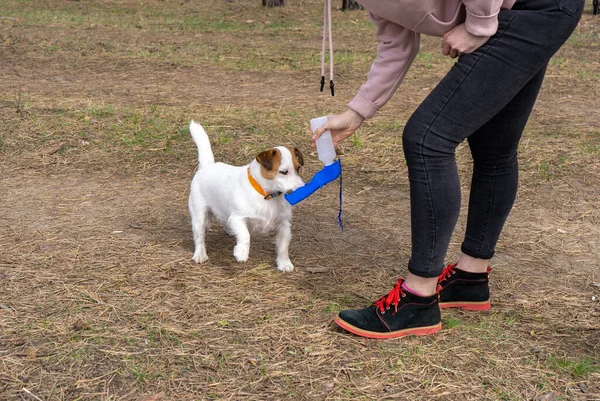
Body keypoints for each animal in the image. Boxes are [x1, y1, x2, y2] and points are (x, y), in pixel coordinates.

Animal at [188, 121, 304, 272]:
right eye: (284, 172)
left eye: (298, 168)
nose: (302, 188)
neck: (267, 195)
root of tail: (207, 166)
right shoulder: (238, 218)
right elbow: (245, 235)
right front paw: (242, 252)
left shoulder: (284, 225)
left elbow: (283, 246)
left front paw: (284, 262)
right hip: (199, 215)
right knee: (200, 236)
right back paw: (200, 254)